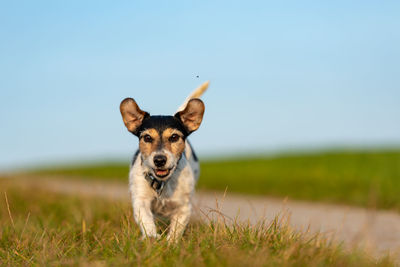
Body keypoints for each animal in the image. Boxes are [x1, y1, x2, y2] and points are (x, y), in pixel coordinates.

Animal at [119, 82, 209, 243]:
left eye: (174, 137)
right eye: (147, 138)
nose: (160, 160)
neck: (162, 183)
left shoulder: (183, 207)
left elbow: (176, 229)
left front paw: (170, 243)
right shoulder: (140, 200)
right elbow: (146, 220)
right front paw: (152, 237)